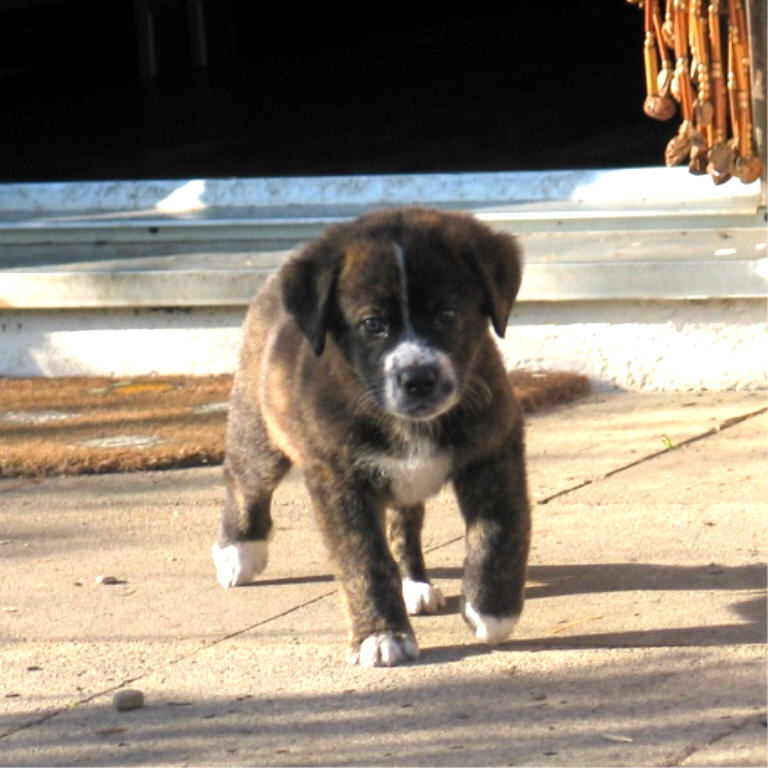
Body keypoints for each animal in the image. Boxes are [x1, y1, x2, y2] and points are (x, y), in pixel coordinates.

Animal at [213, 206, 532, 664]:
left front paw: (492, 611)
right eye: (372, 325)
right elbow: (363, 561)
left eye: (448, 315)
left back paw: (415, 584)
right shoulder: (338, 479)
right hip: (258, 431)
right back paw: (237, 552)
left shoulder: (495, 448)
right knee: (246, 484)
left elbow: (499, 533)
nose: (419, 378)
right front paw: (381, 636)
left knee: (404, 525)